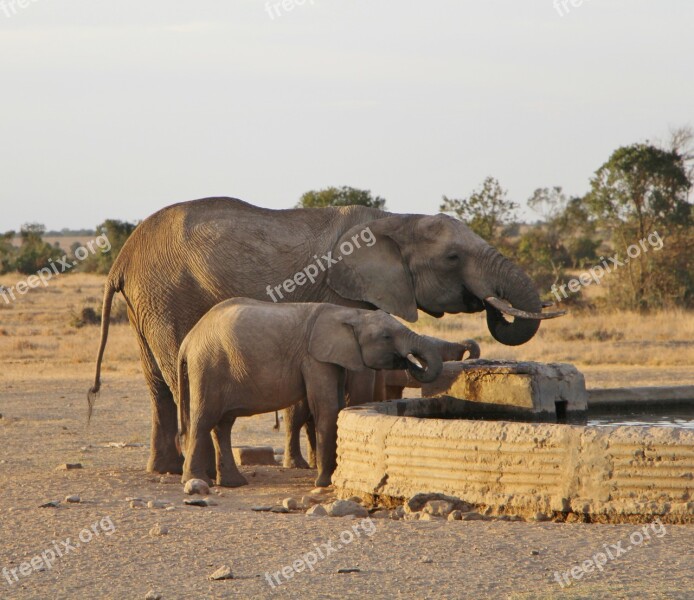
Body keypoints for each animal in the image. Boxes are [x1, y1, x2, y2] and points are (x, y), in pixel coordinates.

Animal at [177, 298, 444, 490]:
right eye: (386, 337)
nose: (409, 361)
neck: (350, 314)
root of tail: (188, 340)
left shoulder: (334, 359)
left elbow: (336, 405)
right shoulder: (315, 358)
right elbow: (326, 409)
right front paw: (325, 483)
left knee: (223, 424)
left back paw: (234, 483)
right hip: (208, 366)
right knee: (204, 420)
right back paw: (196, 482)